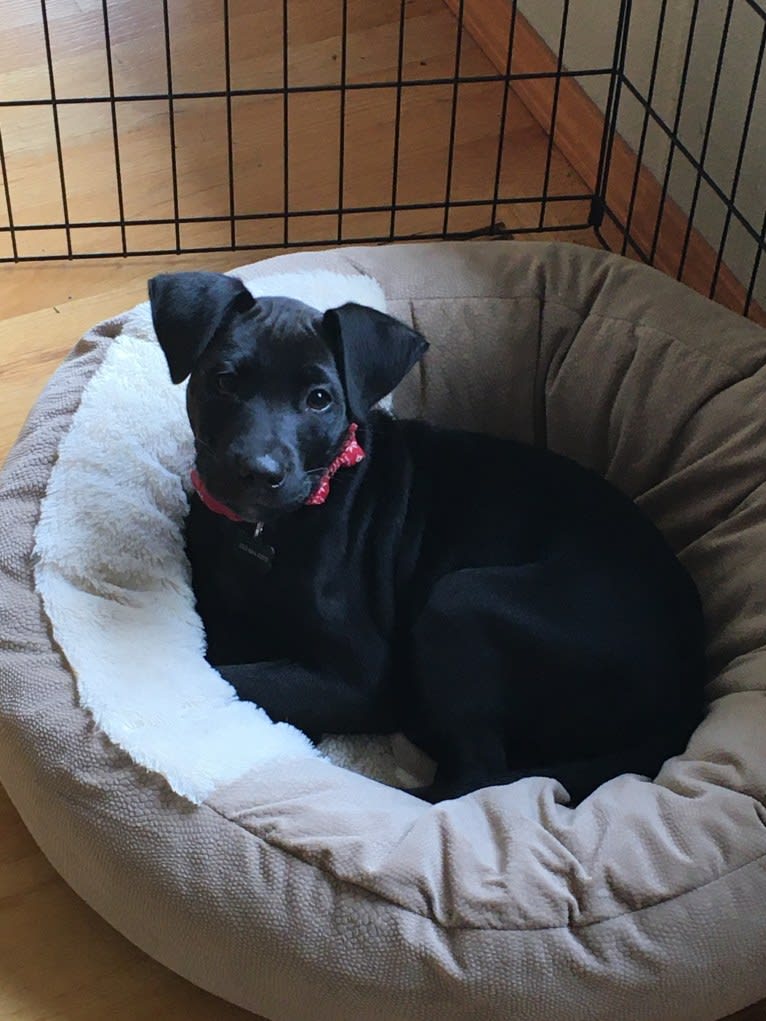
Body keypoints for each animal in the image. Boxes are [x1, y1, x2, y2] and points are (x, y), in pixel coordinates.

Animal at [148, 269, 706, 804]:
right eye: (223, 381)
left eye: (320, 399)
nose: (258, 473)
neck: (267, 531)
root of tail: (689, 695)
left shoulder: (362, 680)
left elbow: (228, 675)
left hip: (461, 599)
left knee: (477, 779)